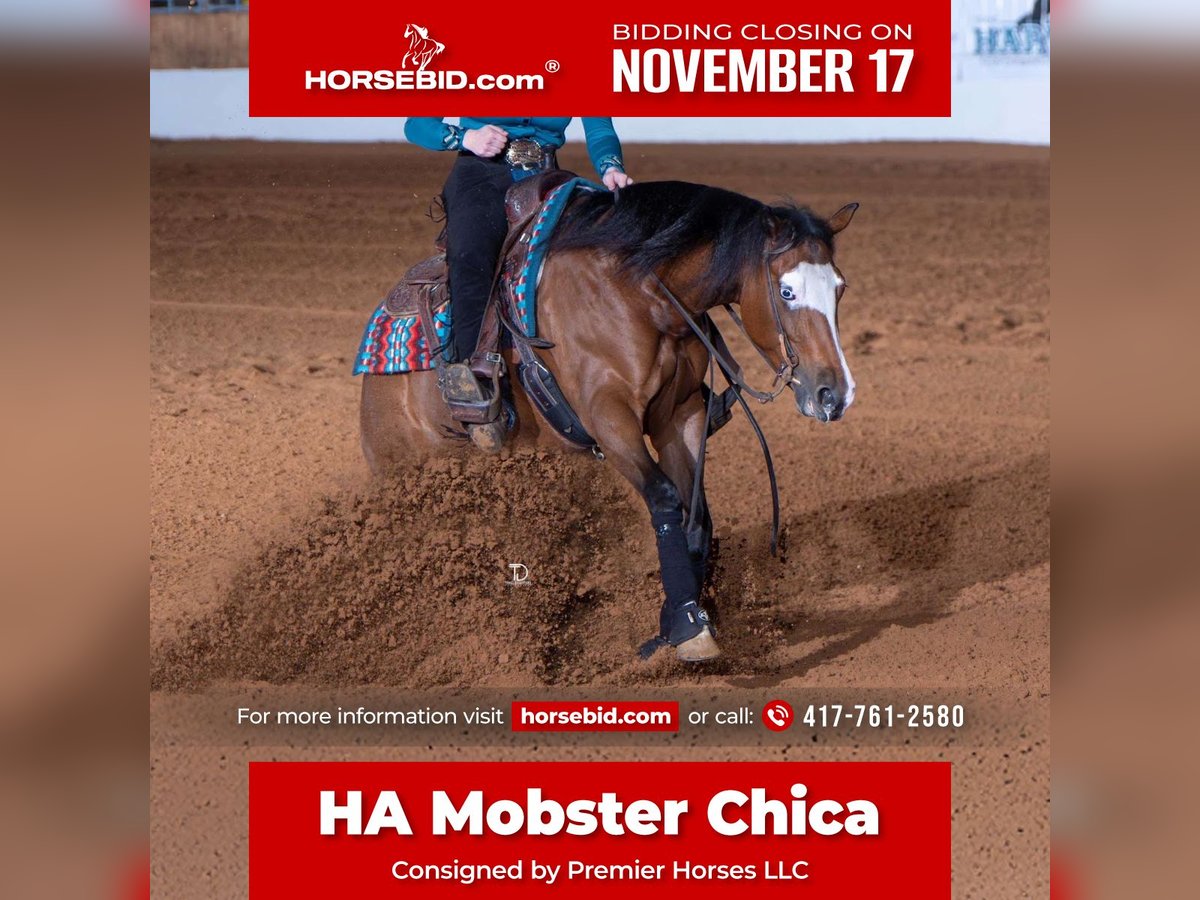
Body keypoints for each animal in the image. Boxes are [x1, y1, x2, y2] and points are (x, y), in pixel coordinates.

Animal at [360, 181, 859, 662]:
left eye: (839, 287)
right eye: (787, 291)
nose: (835, 394)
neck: (641, 296)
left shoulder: (681, 415)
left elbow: (696, 512)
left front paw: (672, 627)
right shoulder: (610, 418)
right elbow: (664, 500)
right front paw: (688, 626)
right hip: (401, 474)